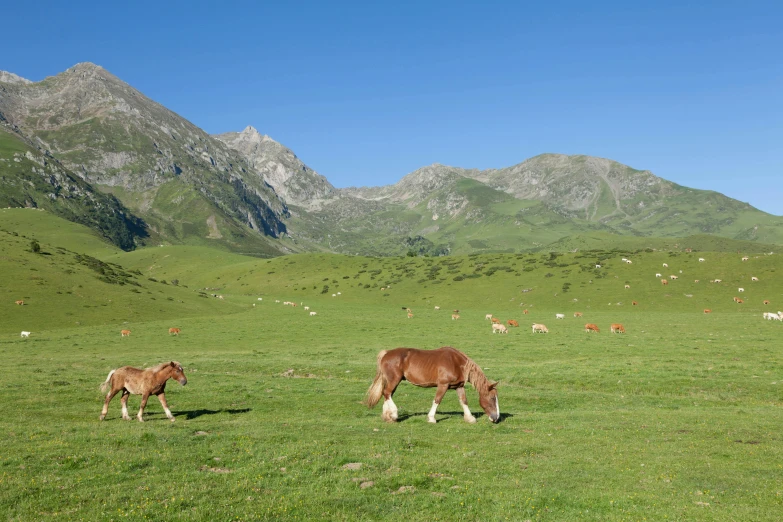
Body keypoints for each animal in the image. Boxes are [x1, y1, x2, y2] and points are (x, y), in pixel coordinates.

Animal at [364, 346, 500, 422]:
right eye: (492, 398)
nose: (496, 418)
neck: (457, 363)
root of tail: (386, 353)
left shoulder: (459, 386)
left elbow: (464, 401)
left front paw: (470, 418)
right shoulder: (443, 385)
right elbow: (437, 400)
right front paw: (431, 418)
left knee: (387, 394)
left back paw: (387, 416)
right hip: (394, 380)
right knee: (387, 393)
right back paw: (393, 415)